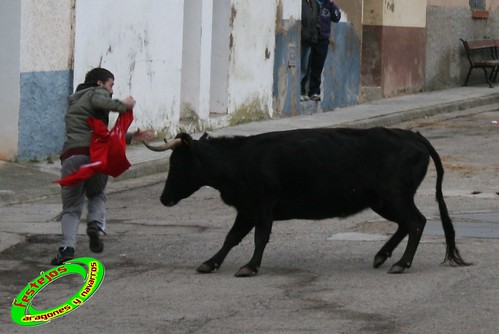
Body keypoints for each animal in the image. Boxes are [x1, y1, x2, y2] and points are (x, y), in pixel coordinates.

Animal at [143, 128, 470, 276]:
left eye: (179, 164)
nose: (164, 198)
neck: (238, 160)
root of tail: (413, 135)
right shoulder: (247, 209)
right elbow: (231, 237)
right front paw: (210, 263)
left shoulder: (262, 206)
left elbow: (259, 238)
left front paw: (250, 266)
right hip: (383, 200)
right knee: (407, 223)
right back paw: (382, 256)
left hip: (393, 196)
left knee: (416, 222)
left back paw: (401, 263)